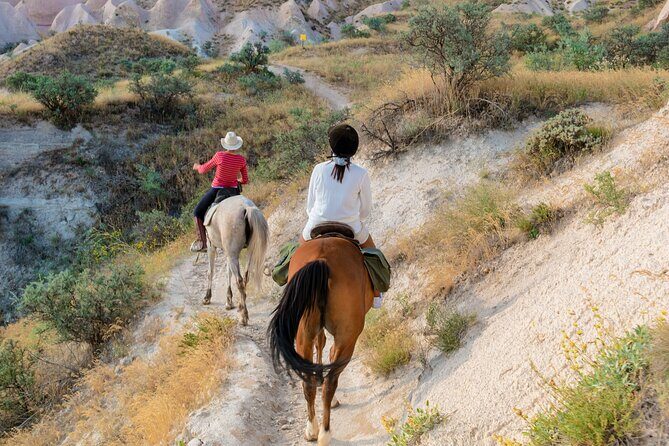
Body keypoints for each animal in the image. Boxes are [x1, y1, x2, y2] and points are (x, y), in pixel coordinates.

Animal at [203, 195, 269, 326]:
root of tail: (246, 207)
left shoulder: (211, 246)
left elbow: (210, 272)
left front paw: (207, 297)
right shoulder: (228, 253)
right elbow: (228, 273)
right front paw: (229, 301)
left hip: (231, 254)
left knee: (239, 281)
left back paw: (244, 317)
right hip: (247, 251)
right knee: (245, 277)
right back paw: (240, 306)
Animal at [268, 232, 373, 445]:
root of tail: (322, 260)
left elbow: (321, 345)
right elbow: (324, 346)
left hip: (304, 335)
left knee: (310, 382)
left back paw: (313, 430)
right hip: (347, 337)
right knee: (331, 379)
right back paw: (324, 431)